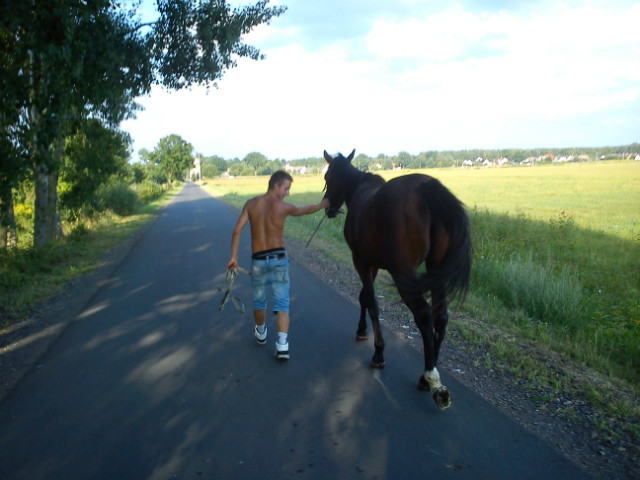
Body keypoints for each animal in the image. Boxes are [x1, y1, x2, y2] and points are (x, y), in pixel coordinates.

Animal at [324, 150, 470, 408]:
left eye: (327, 177)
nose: (329, 208)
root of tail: (427, 189)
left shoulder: (361, 261)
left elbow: (371, 302)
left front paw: (378, 352)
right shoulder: (372, 264)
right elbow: (364, 297)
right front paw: (361, 330)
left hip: (404, 275)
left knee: (424, 316)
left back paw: (433, 380)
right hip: (435, 269)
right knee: (441, 317)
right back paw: (425, 377)